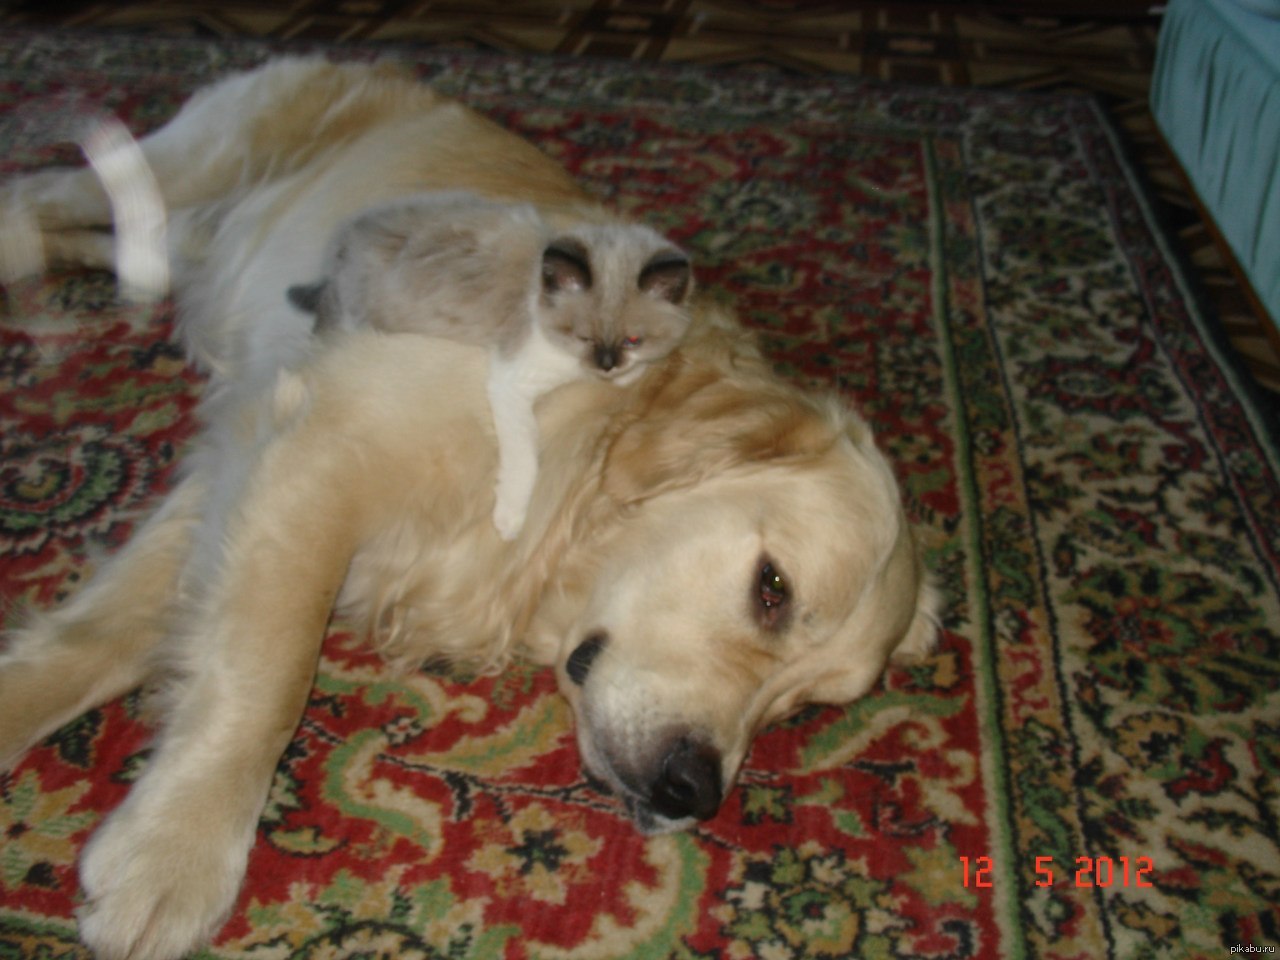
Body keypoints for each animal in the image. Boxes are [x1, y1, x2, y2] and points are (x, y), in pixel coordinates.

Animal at [287, 191, 694, 539]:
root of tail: (343, 246)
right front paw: (510, 520)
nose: (607, 365)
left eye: (632, 340)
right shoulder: (511, 383)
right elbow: (525, 458)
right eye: (584, 337)